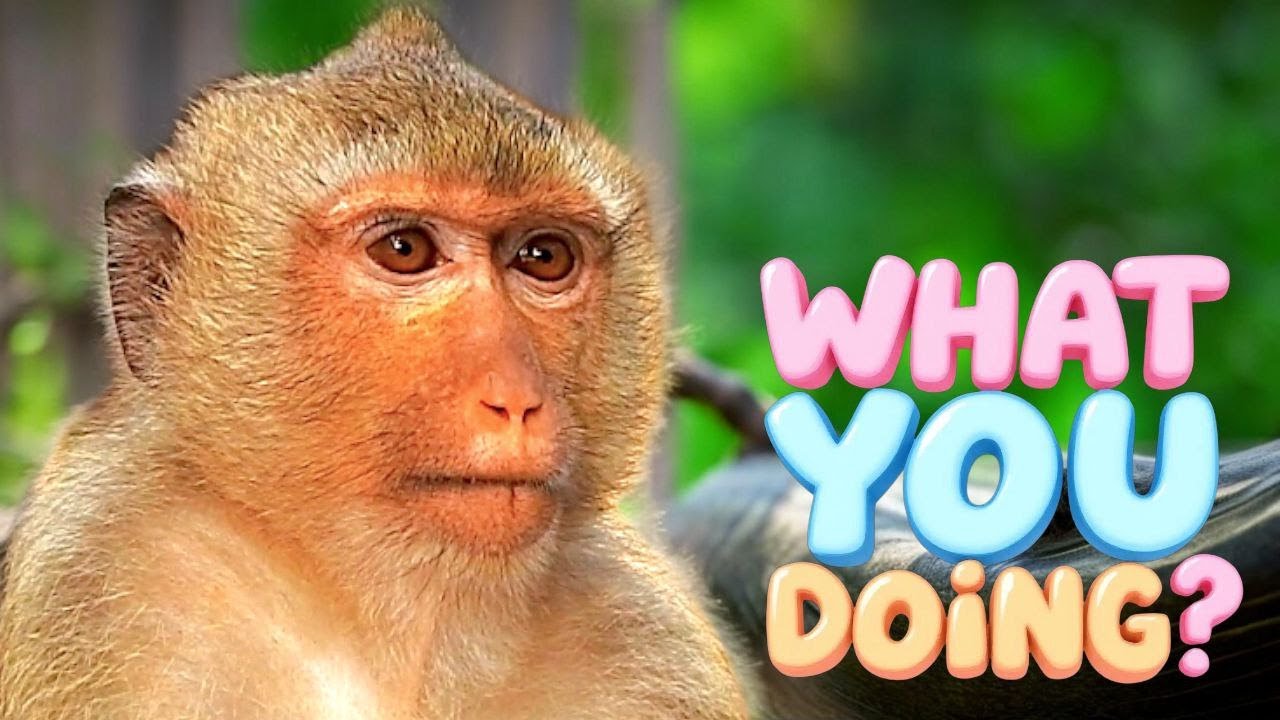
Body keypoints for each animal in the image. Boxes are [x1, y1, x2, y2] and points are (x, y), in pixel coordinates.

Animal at [0, 8, 751, 719]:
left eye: (544, 256)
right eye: (404, 249)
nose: (514, 398)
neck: (398, 631)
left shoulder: (646, 635)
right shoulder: (99, 574)